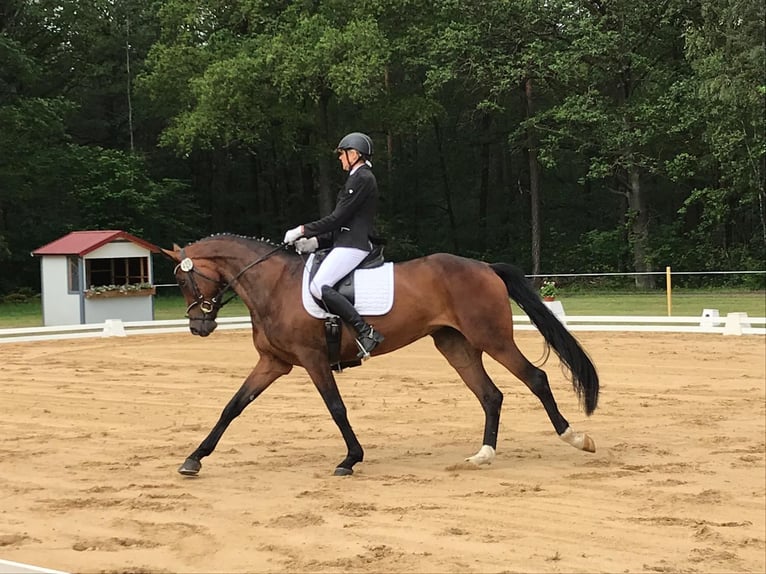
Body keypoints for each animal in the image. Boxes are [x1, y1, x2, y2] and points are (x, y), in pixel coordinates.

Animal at [165, 234, 604, 476]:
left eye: (185, 280)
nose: (198, 327)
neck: (274, 285)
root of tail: (485, 267)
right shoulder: (273, 363)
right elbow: (232, 406)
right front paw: (194, 459)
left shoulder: (313, 359)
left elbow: (336, 408)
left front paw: (350, 459)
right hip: (455, 344)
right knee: (490, 395)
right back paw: (483, 455)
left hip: (493, 338)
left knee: (535, 379)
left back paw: (576, 438)